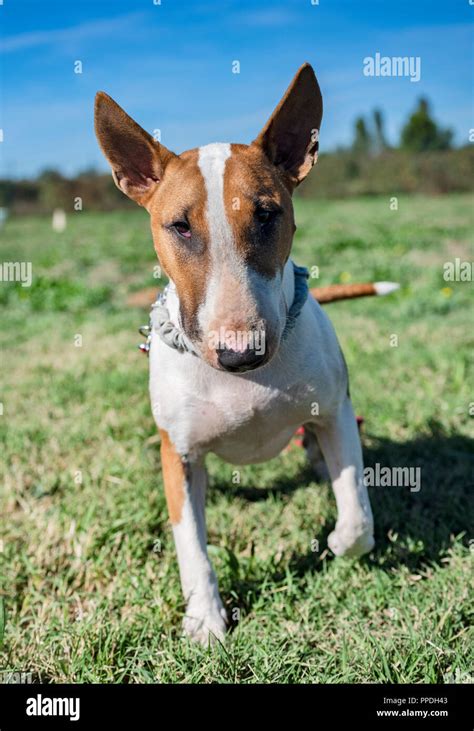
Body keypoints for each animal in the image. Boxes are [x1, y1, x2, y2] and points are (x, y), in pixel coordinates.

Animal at [93, 63, 396, 648]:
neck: (245, 383)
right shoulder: (180, 457)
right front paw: (207, 621)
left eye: (267, 214)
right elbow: (191, 546)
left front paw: (337, 542)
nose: (239, 354)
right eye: (179, 226)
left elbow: (357, 515)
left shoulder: (334, 412)